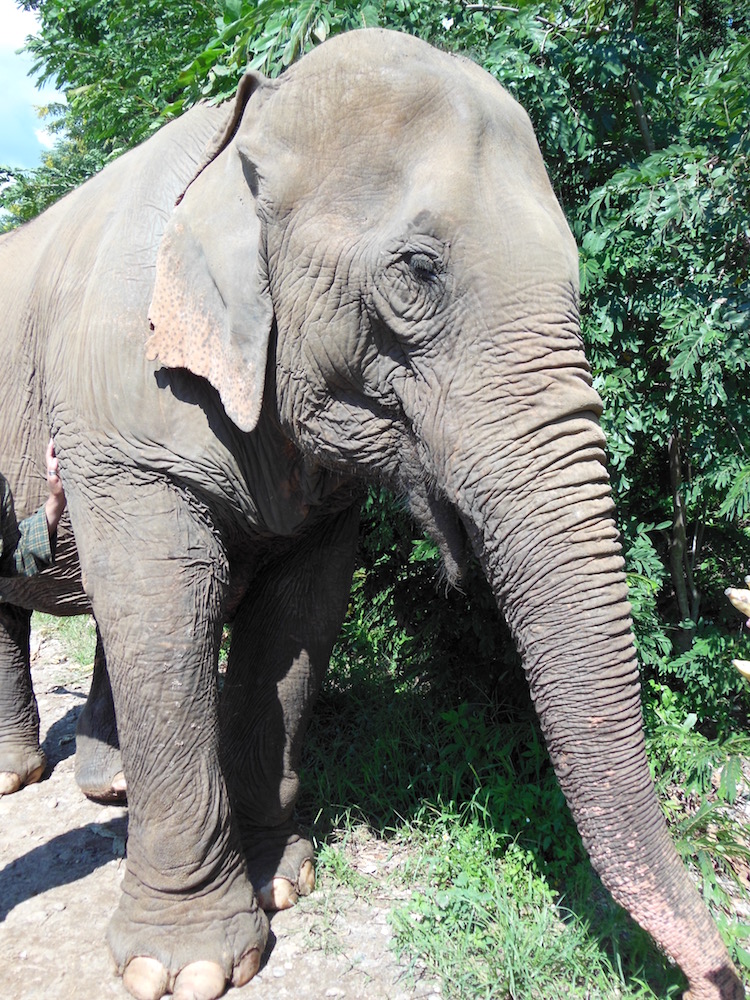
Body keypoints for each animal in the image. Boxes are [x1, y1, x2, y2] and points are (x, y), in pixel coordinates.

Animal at [0, 27, 744, 1000]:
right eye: (418, 271)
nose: (712, 978)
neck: (250, 118)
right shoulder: (121, 413)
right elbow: (162, 610)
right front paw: (187, 965)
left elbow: (300, 616)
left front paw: (282, 879)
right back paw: (24, 779)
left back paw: (103, 789)